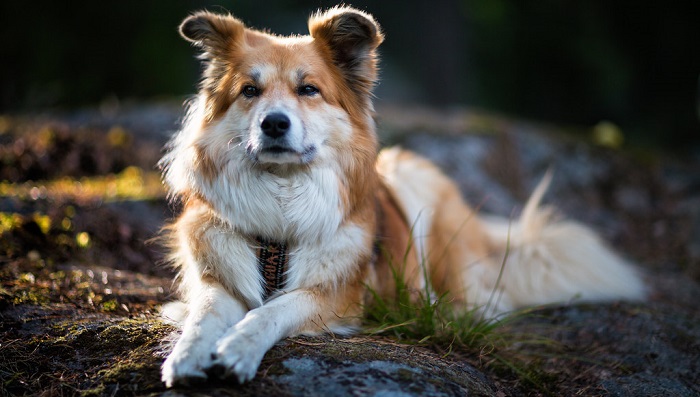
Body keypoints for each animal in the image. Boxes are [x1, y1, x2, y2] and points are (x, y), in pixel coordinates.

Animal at [159, 4, 644, 386]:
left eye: (308, 89)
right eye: (249, 91)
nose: (274, 123)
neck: (280, 205)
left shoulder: (337, 295)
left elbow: (271, 310)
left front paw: (239, 347)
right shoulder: (215, 277)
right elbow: (204, 315)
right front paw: (187, 354)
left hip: (419, 192)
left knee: (481, 300)